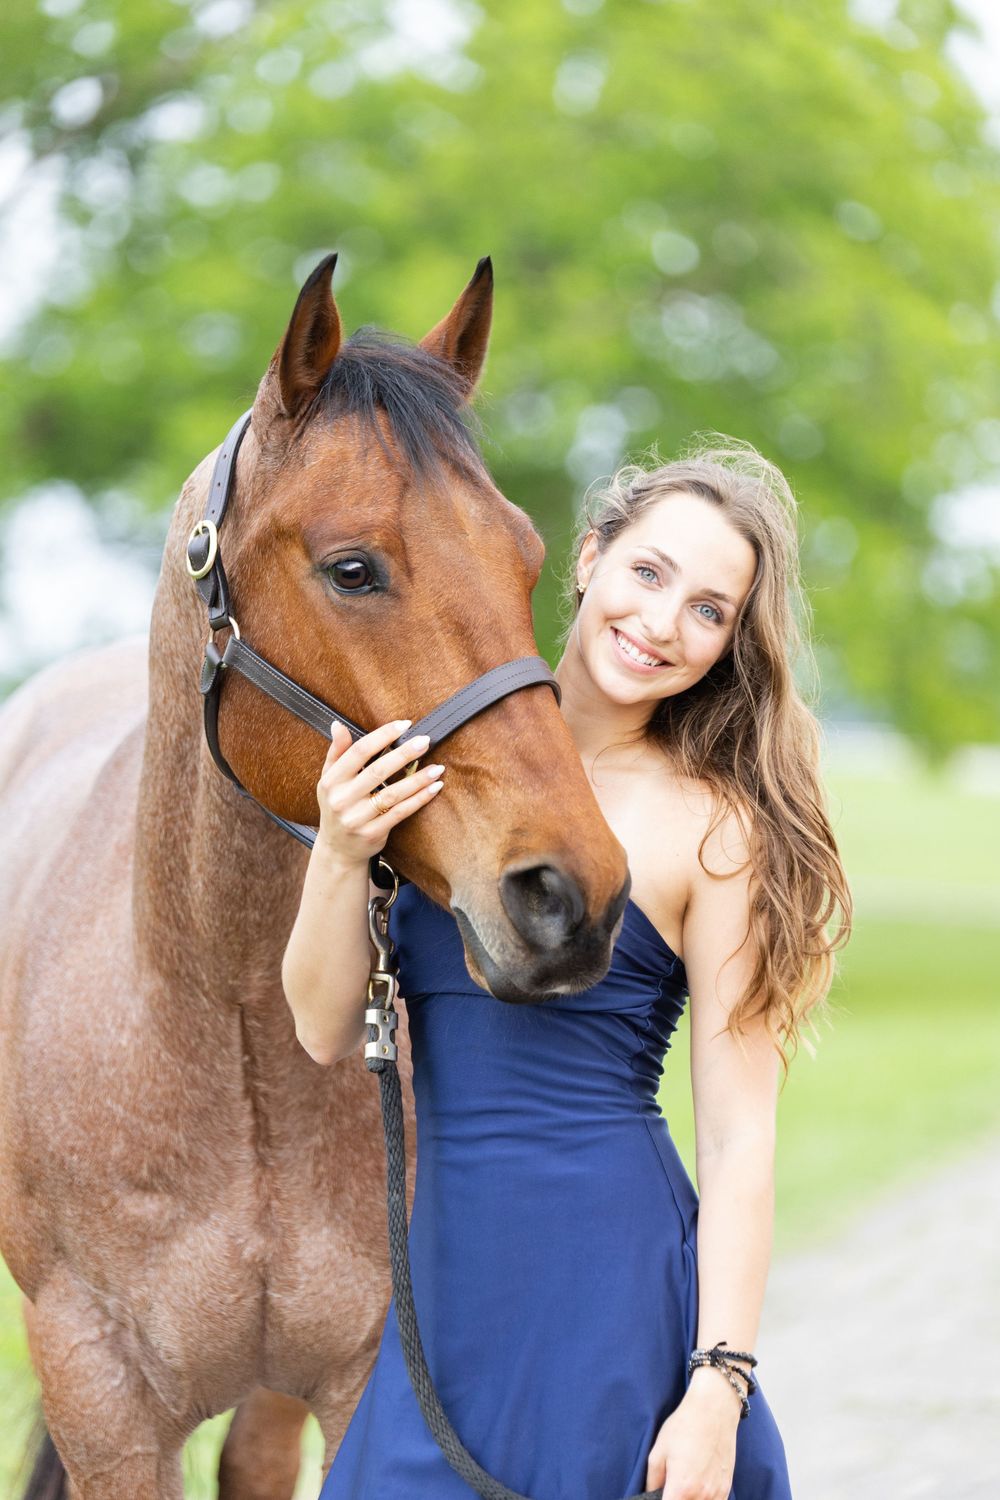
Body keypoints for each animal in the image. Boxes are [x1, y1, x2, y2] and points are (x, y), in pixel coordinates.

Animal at [0, 253, 630, 1499]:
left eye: (529, 559)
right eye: (352, 569)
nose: (568, 896)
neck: (218, 1014)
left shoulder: (361, 1374)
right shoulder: (102, 1393)